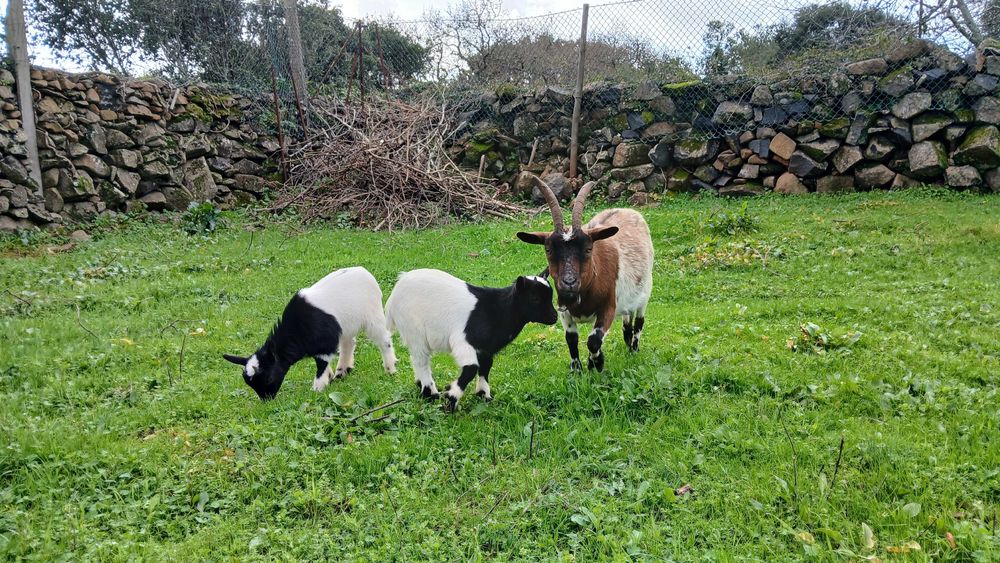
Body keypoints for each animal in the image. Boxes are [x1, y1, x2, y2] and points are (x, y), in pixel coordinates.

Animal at [223, 266, 397, 400]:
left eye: (268, 378)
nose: (267, 400)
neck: (297, 331)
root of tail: (364, 272)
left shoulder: (325, 344)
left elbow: (321, 364)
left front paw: (318, 387)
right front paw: (329, 378)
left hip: (373, 315)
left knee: (384, 340)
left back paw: (390, 369)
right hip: (346, 325)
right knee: (349, 343)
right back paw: (342, 372)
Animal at [384, 268, 558, 411]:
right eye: (535, 298)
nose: (554, 317)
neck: (498, 310)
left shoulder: (485, 348)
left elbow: (485, 367)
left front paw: (484, 395)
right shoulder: (463, 341)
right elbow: (471, 369)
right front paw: (451, 398)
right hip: (414, 329)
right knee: (421, 360)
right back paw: (430, 394)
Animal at [516, 176, 654, 372]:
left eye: (588, 248)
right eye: (548, 249)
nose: (569, 283)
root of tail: (629, 210)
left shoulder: (608, 307)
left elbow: (593, 340)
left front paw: (597, 363)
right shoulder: (564, 311)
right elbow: (571, 339)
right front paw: (578, 369)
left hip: (646, 290)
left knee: (639, 320)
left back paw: (634, 348)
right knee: (627, 317)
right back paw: (627, 341)